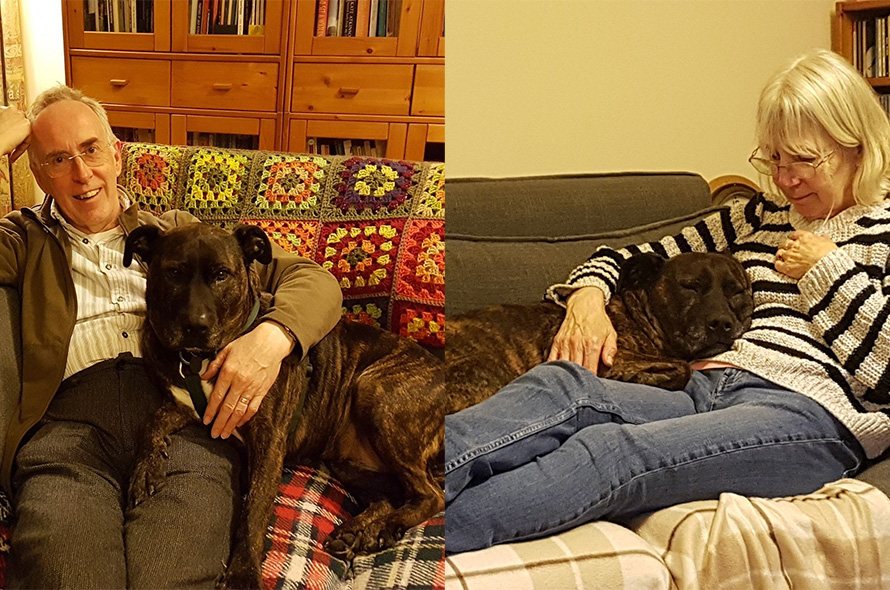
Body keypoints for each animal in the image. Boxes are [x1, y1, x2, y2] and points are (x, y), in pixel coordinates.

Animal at [123, 223, 442, 590]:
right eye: (173, 272)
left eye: (222, 274)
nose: (196, 326)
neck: (200, 359)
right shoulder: (181, 406)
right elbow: (150, 422)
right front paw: (146, 468)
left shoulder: (269, 441)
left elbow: (255, 508)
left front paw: (242, 573)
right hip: (350, 464)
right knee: (390, 497)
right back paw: (359, 533)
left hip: (374, 393)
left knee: (430, 495)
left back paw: (383, 528)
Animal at [444, 253, 748, 416]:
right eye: (691, 286)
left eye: (737, 292)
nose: (722, 323)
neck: (640, 315)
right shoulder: (611, 354)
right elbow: (683, 369)